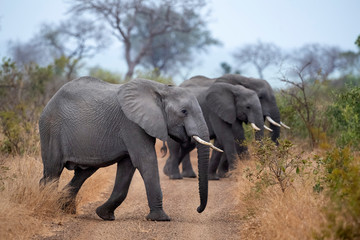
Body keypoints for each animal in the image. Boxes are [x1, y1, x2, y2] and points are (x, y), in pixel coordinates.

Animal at [39, 76, 219, 221]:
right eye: (184, 111)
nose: (198, 209)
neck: (162, 89)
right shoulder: (131, 124)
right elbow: (145, 161)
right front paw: (161, 219)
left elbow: (128, 167)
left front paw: (104, 215)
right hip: (51, 128)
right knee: (53, 170)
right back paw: (49, 206)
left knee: (83, 173)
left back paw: (66, 209)